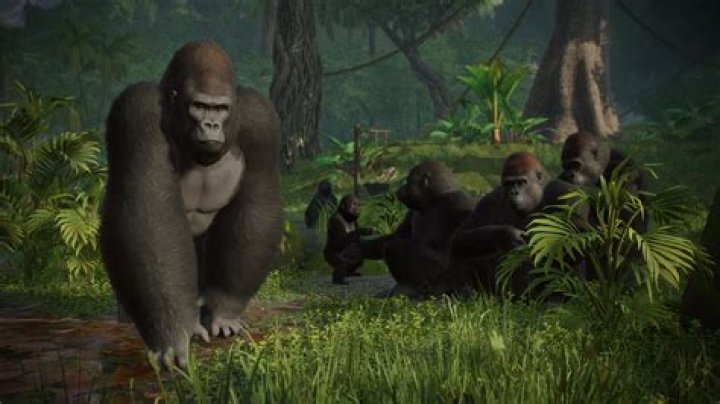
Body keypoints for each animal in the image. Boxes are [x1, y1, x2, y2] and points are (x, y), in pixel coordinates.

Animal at [100, 40, 283, 369]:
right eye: (199, 106)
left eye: (221, 109)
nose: (211, 124)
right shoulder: (136, 110)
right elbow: (148, 213)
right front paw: (173, 334)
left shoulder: (260, 119)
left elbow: (258, 203)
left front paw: (225, 308)